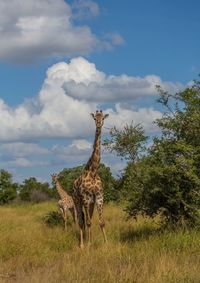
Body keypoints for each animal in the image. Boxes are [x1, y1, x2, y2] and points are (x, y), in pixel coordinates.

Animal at [72, 110, 108, 247]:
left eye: (103, 118)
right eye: (94, 118)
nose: (98, 124)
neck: (93, 171)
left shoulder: (99, 196)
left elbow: (101, 222)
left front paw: (106, 244)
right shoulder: (86, 198)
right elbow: (87, 222)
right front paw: (88, 245)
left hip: (91, 203)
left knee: (89, 219)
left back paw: (89, 240)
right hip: (78, 201)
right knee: (81, 221)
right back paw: (83, 244)